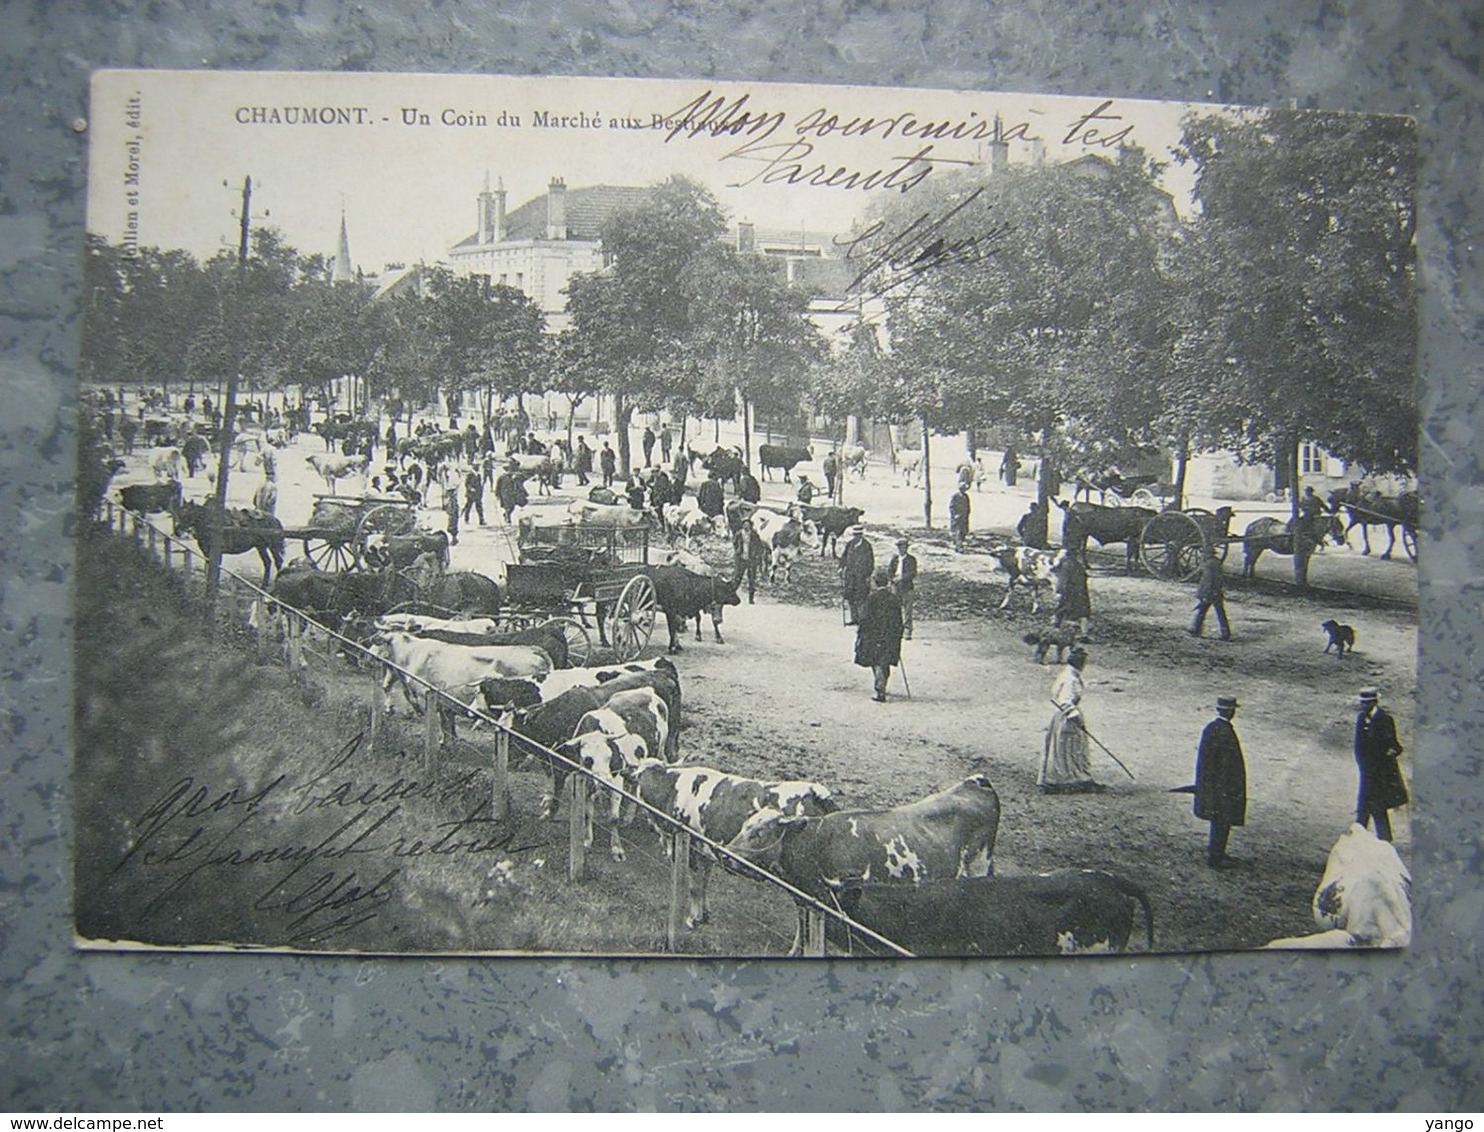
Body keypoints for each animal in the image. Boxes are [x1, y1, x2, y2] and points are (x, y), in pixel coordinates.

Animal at [557, 685, 673, 860]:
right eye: (588, 759)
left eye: (609, 756)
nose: (604, 783)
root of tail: (647, 690)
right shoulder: (585, 781)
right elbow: (587, 814)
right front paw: (587, 841)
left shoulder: (617, 779)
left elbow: (613, 818)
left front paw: (617, 848)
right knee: (635, 784)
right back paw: (629, 818)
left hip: (659, 750)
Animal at [623, 759, 836, 931]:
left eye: (638, 778)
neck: (673, 790)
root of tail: (815, 791)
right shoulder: (706, 850)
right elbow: (703, 883)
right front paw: (704, 913)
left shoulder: (690, 848)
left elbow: (694, 887)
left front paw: (693, 919)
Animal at [727, 777, 1003, 949]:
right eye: (744, 826)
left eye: (760, 833)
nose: (725, 853)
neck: (816, 843)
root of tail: (977, 782)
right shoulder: (807, 901)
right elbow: (803, 930)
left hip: (979, 866)